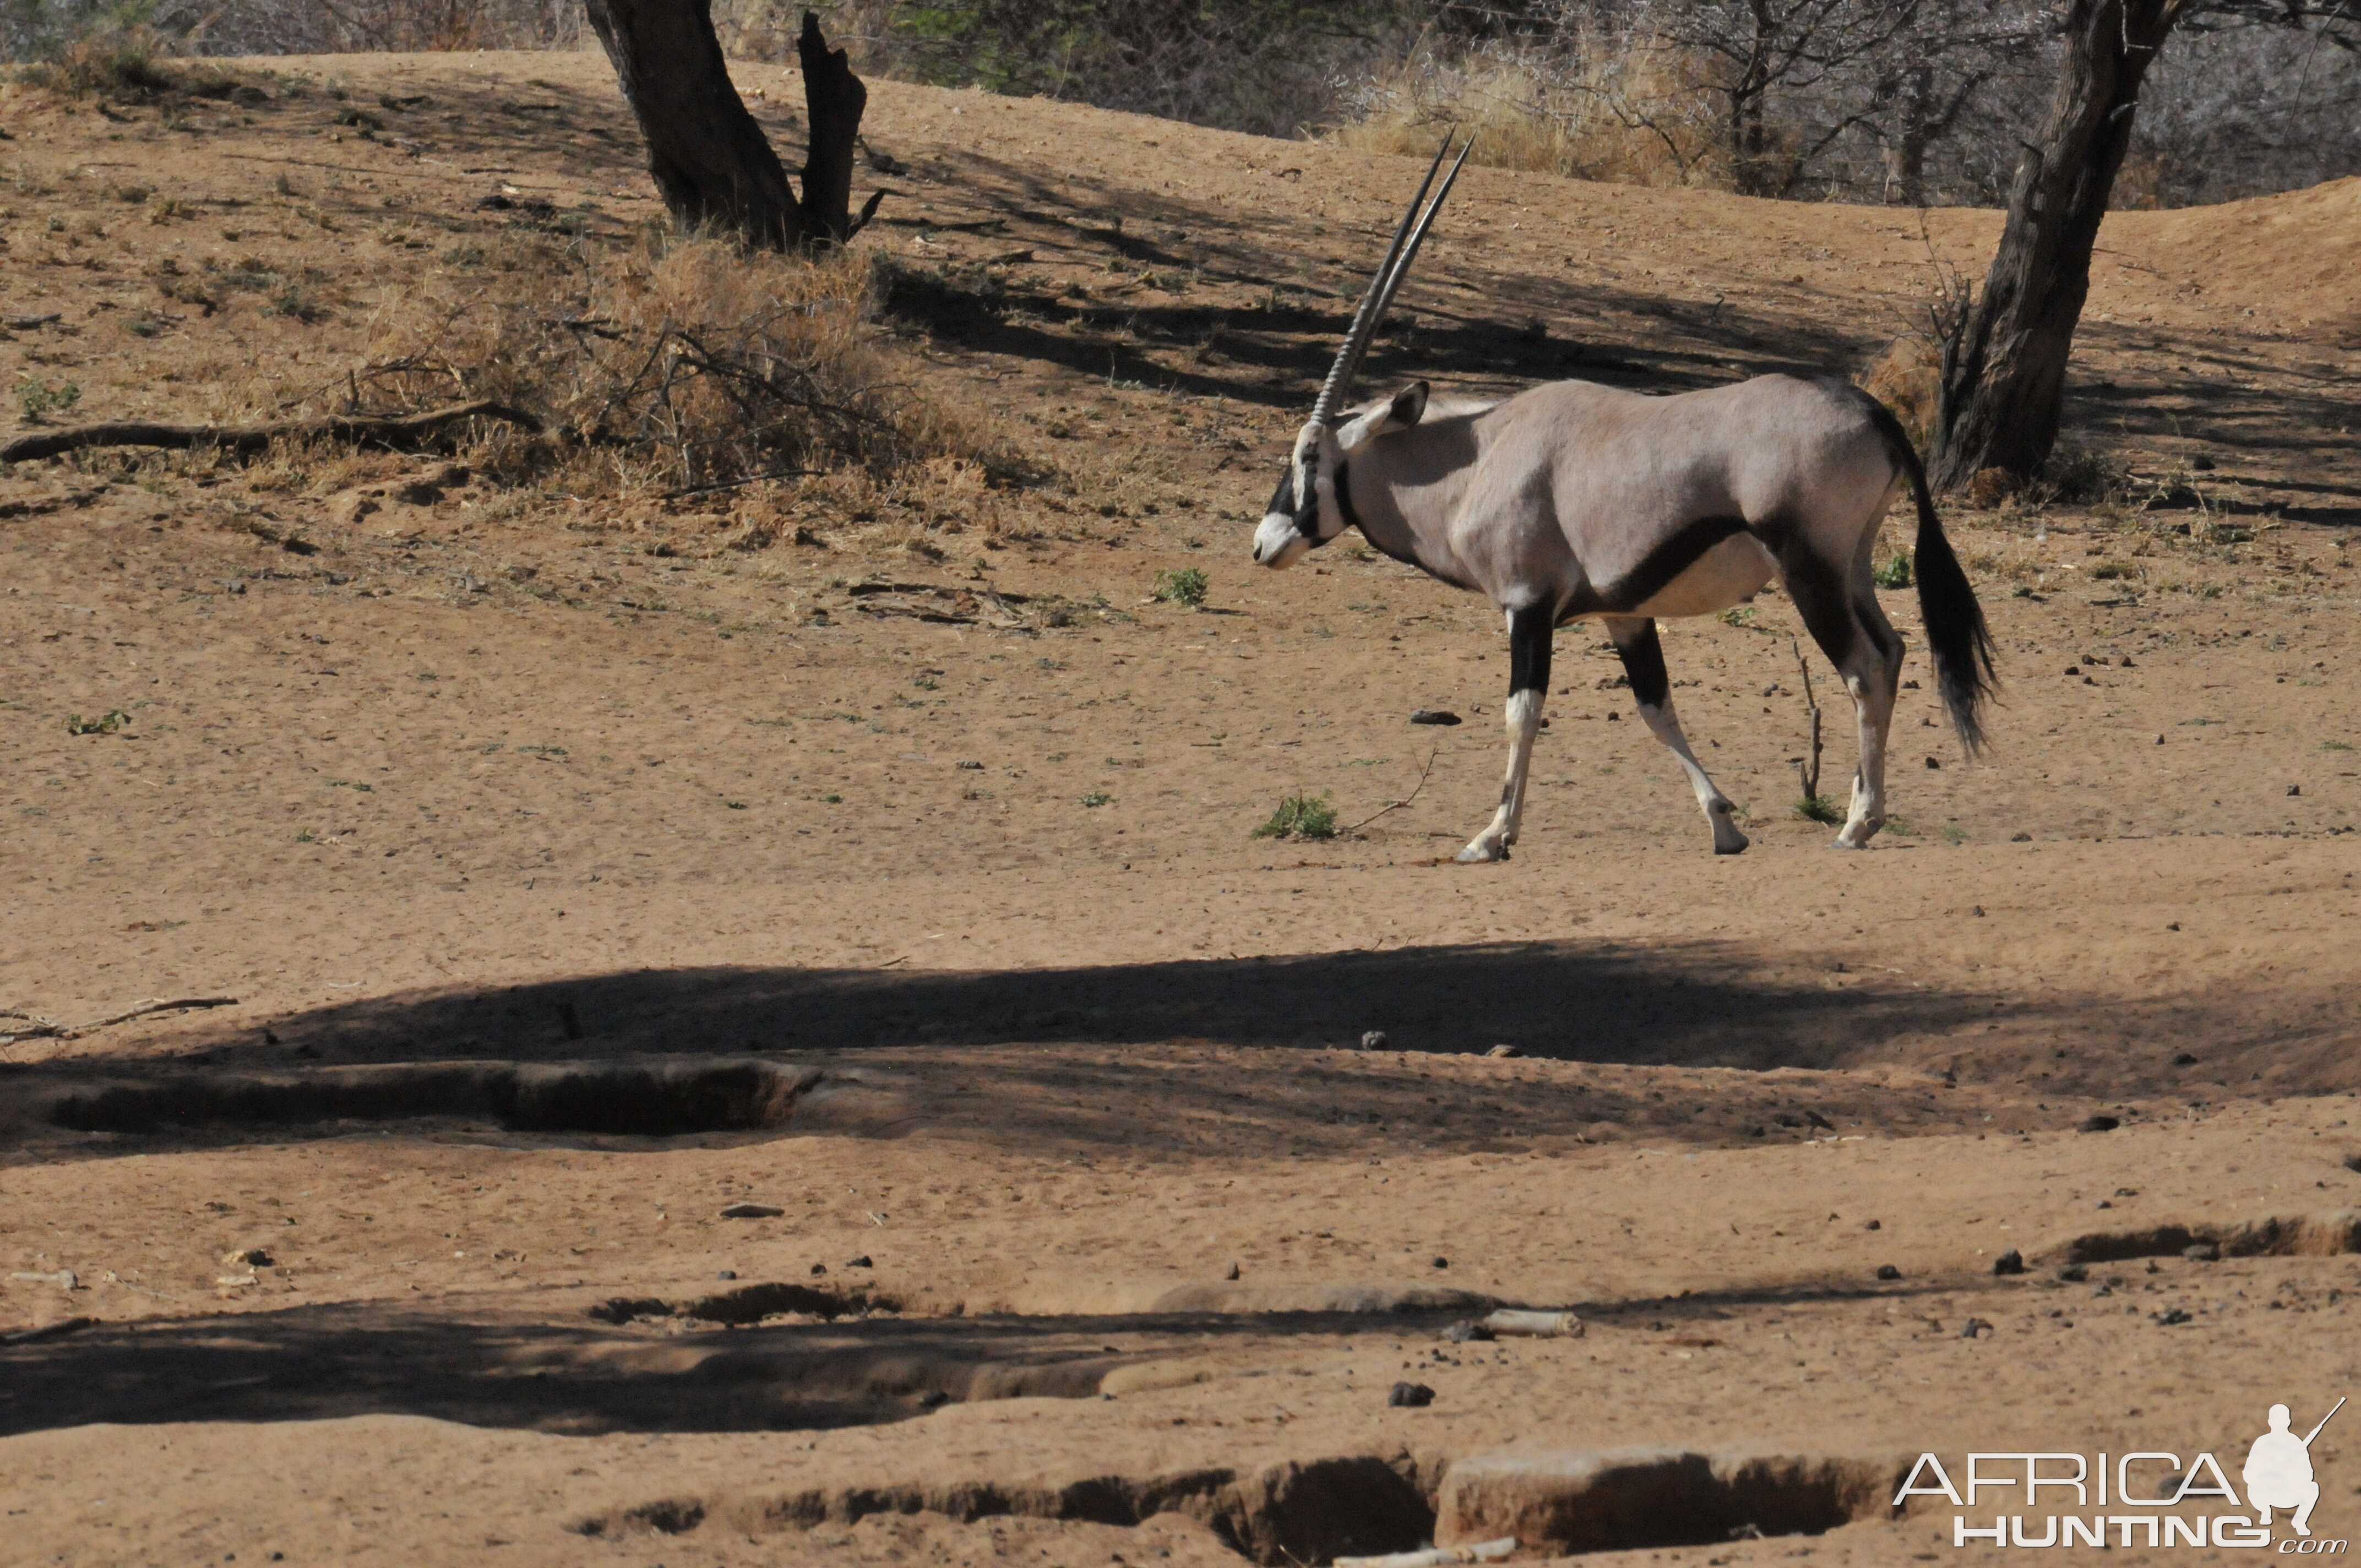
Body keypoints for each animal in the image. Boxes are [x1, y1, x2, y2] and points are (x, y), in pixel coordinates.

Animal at [1256, 141, 1993, 864]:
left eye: (1309, 457)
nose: (1264, 544)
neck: (1479, 457)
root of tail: (1874, 413)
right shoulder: (1625, 615)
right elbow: (1655, 707)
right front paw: (1723, 824)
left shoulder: (1527, 606)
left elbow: (1522, 713)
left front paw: (1492, 835)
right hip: (1851, 568)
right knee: (1892, 653)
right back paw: (1864, 811)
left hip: (1809, 571)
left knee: (1864, 670)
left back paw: (1857, 823)